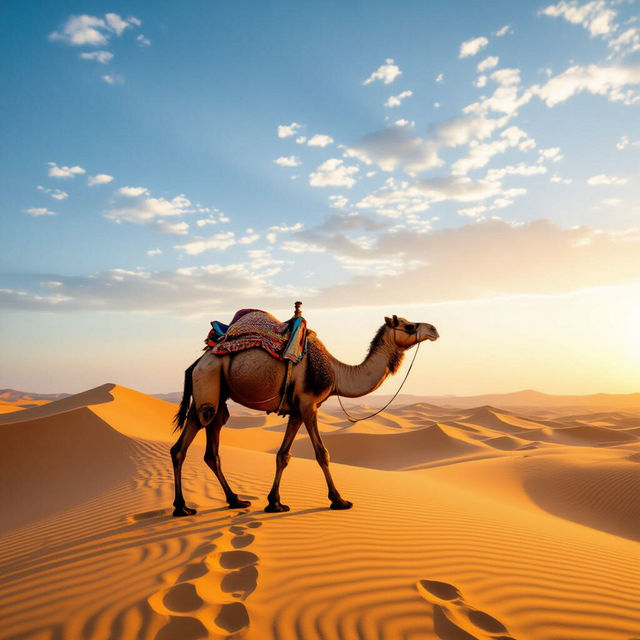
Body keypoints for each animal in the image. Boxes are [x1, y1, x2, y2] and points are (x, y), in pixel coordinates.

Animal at [171, 312, 439, 515]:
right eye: (409, 325)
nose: (434, 329)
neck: (337, 372)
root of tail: (196, 363)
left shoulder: (297, 410)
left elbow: (283, 455)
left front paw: (275, 503)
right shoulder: (310, 405)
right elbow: (322, 453)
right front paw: (339, 500)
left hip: (217, 393)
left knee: (211, 449)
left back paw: (235, 500)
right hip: (208, 385)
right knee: (185, 442)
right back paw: (182, 507)